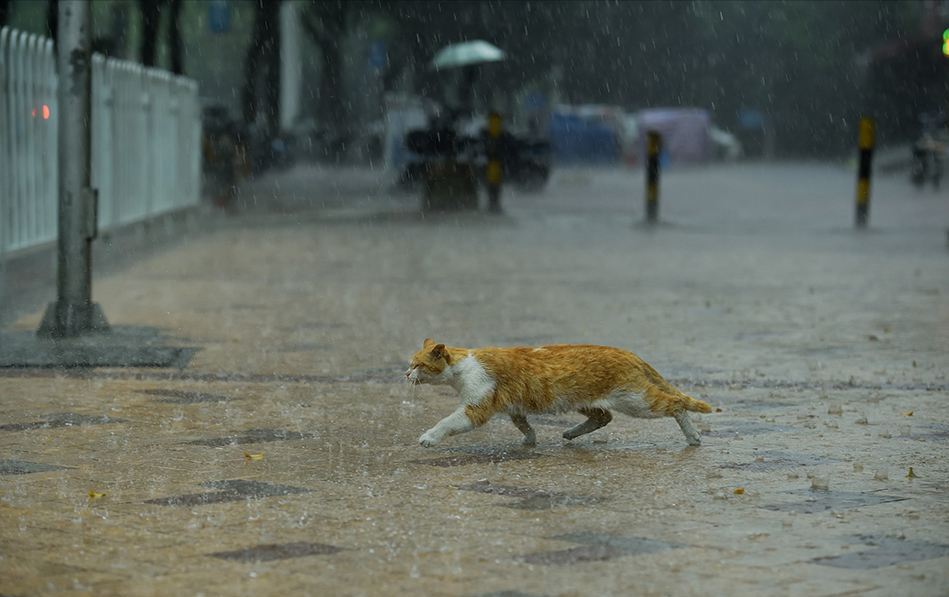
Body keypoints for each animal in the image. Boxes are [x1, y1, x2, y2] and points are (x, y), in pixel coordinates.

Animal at [406, 340, 712, 448]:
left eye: (418, 365)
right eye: (410, 363)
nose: (406, 374)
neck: (464, 366)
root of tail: (628, 353)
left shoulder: (475, 409)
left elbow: (446, 422)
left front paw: (429, 438)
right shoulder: (514, 407)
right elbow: (523, 424)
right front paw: (530, 440)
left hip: (637, 401)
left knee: (676, 404)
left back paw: (693, 436)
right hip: (581, 400)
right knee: (603, 417)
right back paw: (571, 434)